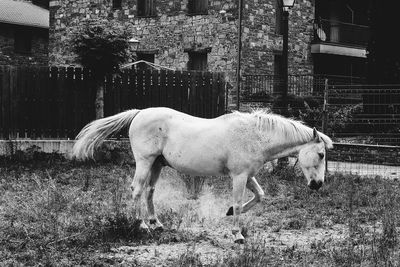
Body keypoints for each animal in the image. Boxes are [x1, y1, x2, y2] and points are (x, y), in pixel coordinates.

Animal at [72, 107, 334, 245]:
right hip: (145, 162)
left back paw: (157, 224)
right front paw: (237, 234)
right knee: (137, 190)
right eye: (321, 154)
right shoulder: (239, 176)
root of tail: (139, 114)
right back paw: (143, 225)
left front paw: (228, 212)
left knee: (149, 191)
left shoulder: (248, 175)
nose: (317, 185)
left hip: (157, 165)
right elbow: (240, 202)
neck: (254, 135)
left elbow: (259, 195)